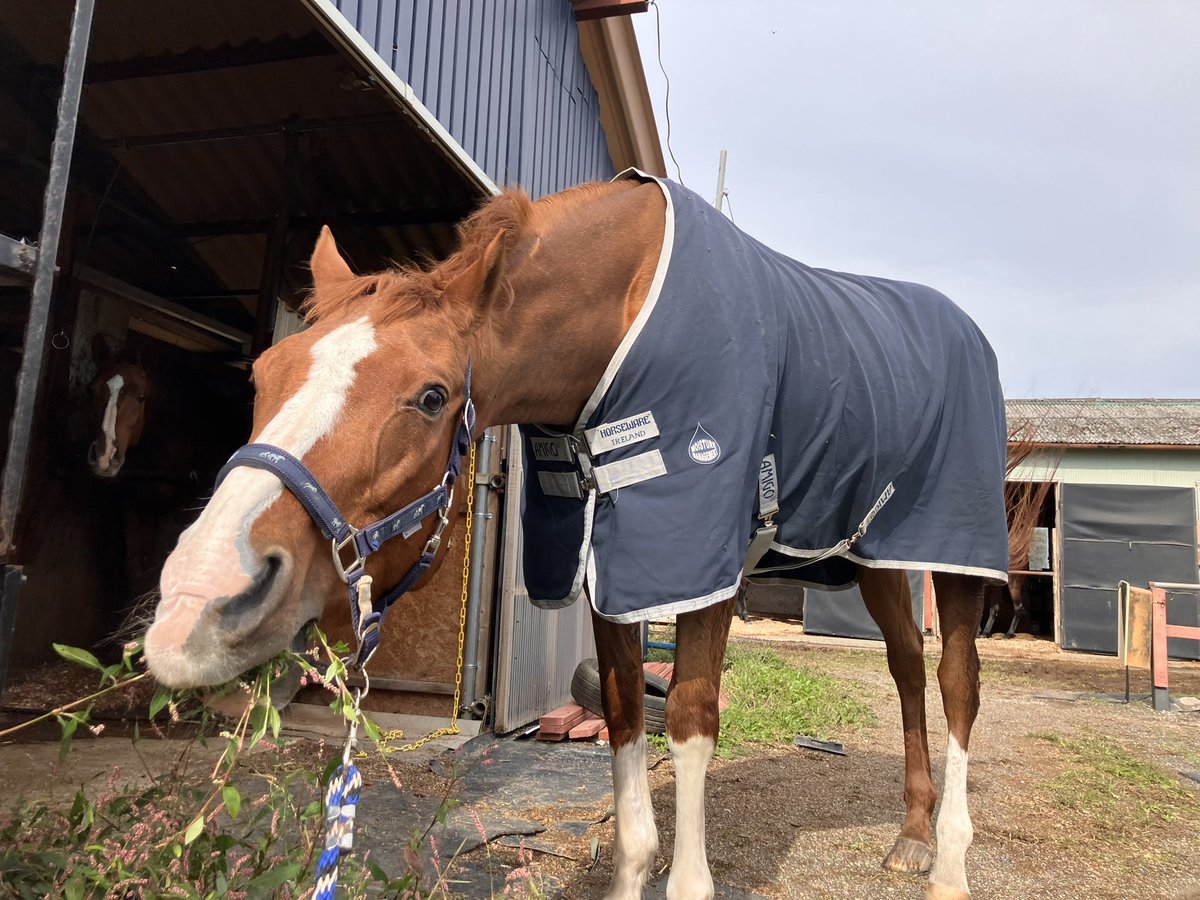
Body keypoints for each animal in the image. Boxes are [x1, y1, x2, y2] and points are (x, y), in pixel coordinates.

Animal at [144, 174, 1007, 900]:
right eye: (264, 374)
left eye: (431, 396)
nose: (195, 602)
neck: (623, 317)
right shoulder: (606, 568)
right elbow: (624, 715)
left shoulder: (699, 558)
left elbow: (689, 717)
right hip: (879, 556)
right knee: (906, 670)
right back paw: (911, 836)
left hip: (955, 549)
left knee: (956, 684)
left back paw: (949, 863)